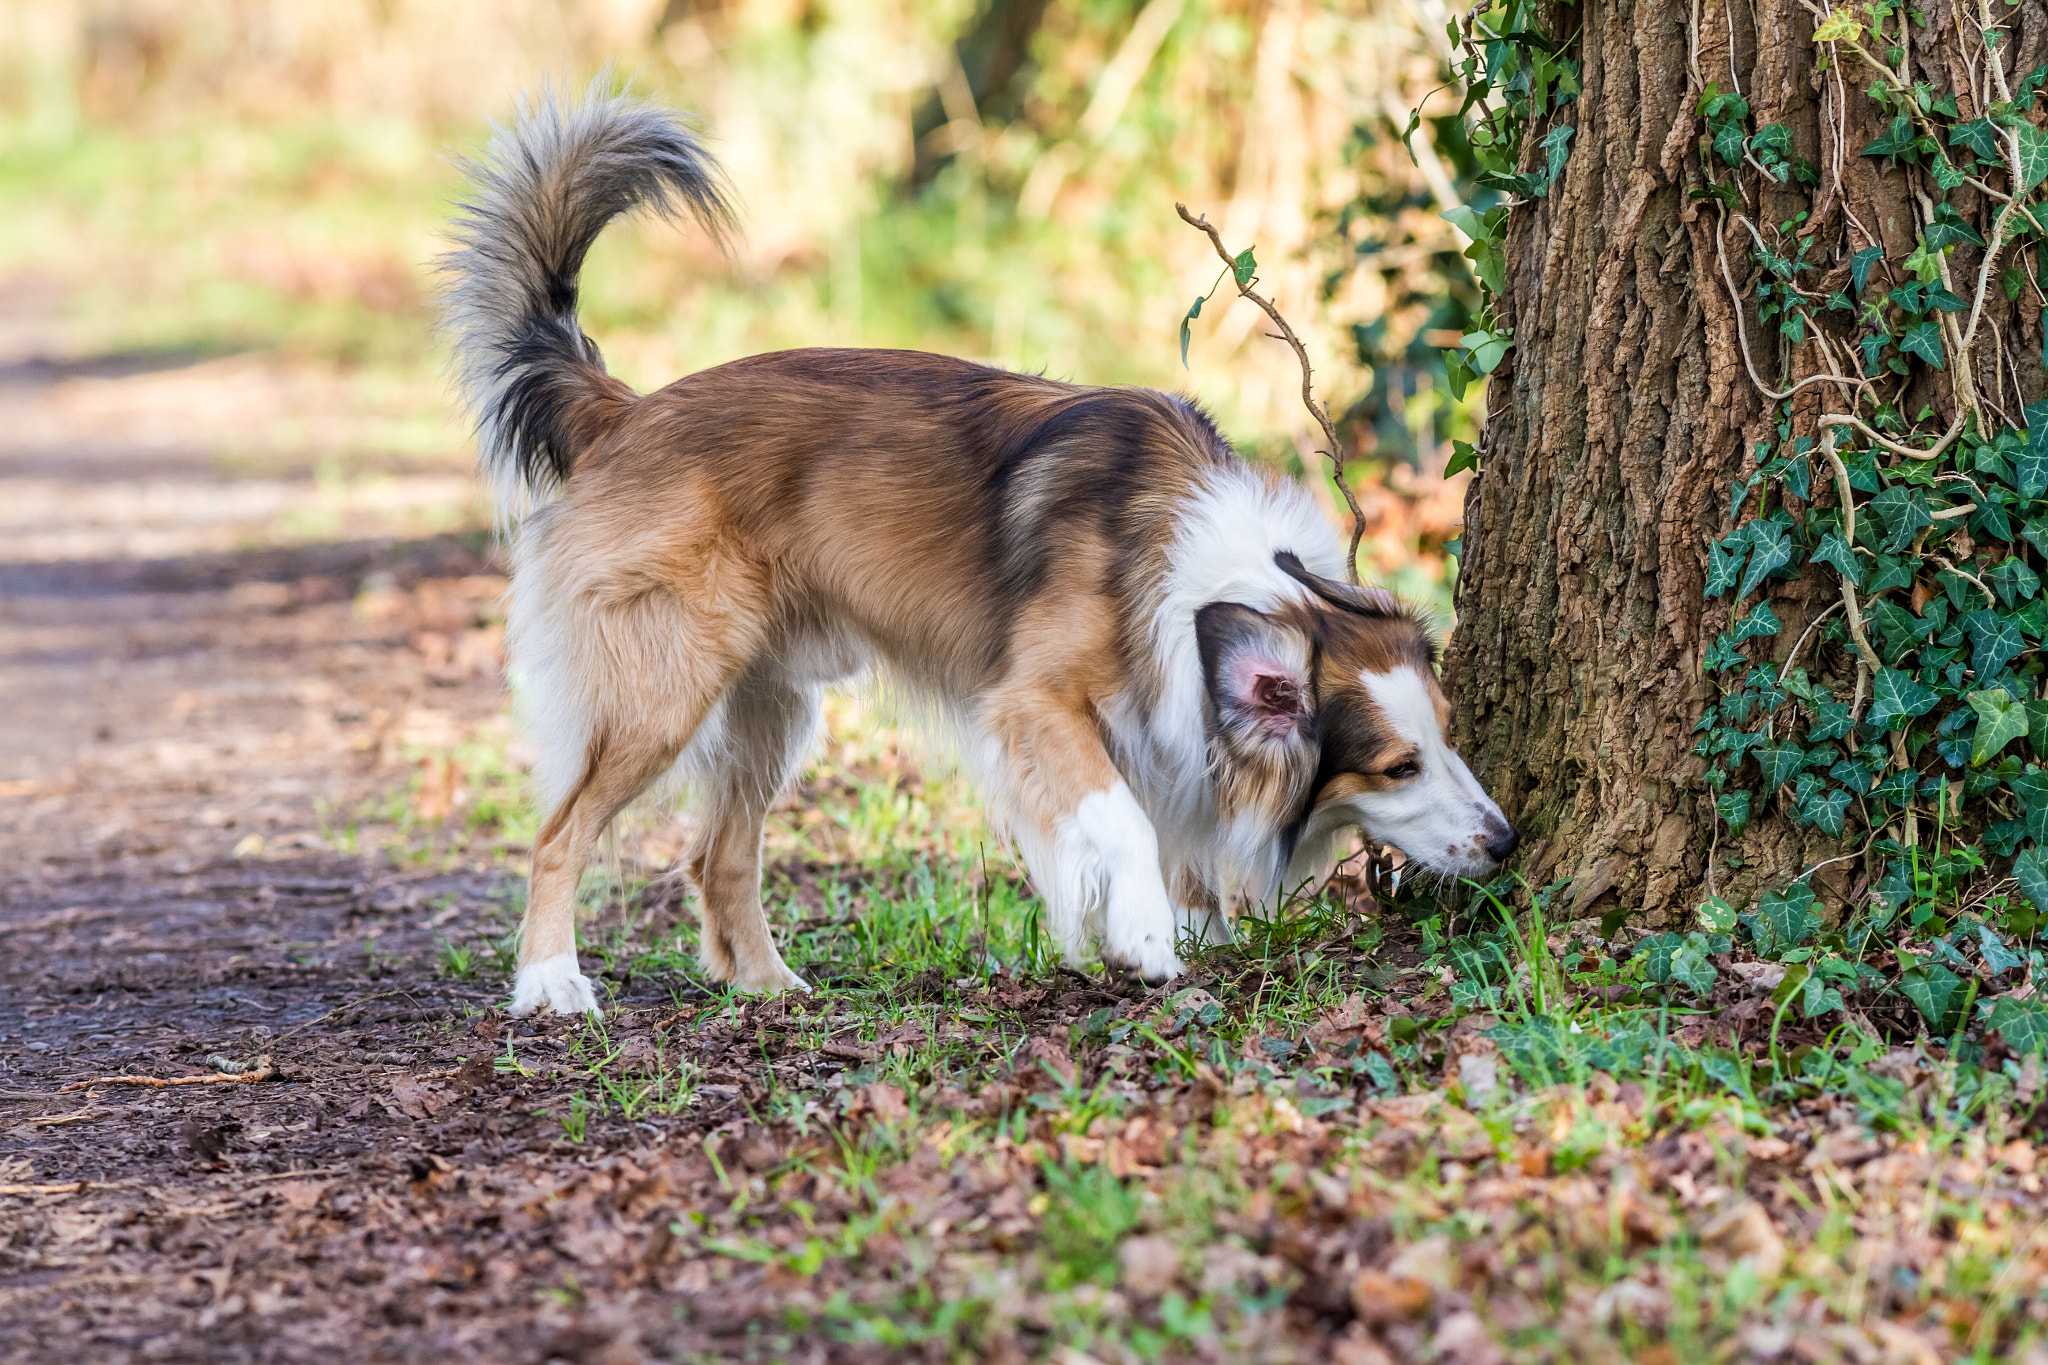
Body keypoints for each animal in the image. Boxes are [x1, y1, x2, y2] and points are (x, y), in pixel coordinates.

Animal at [436, 85, 1523, 1015]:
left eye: (1446, 736)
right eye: (1397, 768)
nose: (1508, 844)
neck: (1208, 578)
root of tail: (623, 411)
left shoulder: (1165, 718)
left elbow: (1171, 829)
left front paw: (1189, 923)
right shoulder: (1033, 702)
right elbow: (1121, 817)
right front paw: (1144, 937)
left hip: (770, 707)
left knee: (720, 856)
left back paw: (769, 985)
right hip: (664, 690)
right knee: (559, 833)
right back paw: (552, 981)